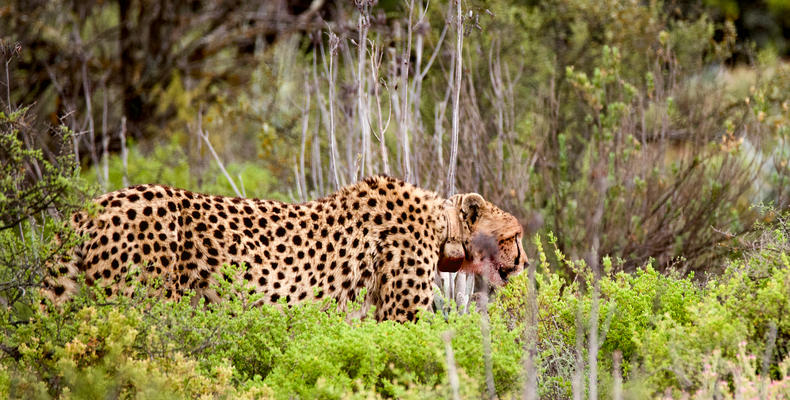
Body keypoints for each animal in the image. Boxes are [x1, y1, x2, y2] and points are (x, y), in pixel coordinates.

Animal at [41, 175, 524, 322]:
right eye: (514, 235)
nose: (523, 260)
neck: (442, 228)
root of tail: (95, 203)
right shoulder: (403, 316)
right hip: (142, 305)